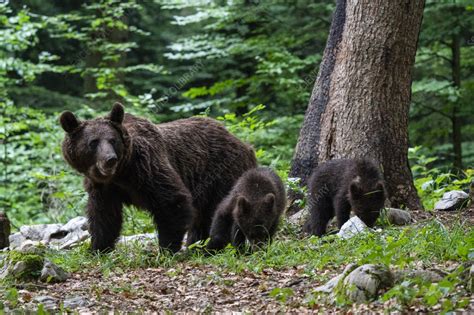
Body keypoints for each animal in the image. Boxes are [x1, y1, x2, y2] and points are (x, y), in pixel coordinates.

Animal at [61, 105, 260, 253]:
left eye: (112, 140)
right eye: (93, 142)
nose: (110, 159)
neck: (121, 173)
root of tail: (245, 145)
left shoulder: (147, 167)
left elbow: (171, 201)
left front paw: (166, 249)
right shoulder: (104, 187)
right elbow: (104, 216)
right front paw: (98, 248)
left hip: (221, 175)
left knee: (219, 212)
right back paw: (196, 245)